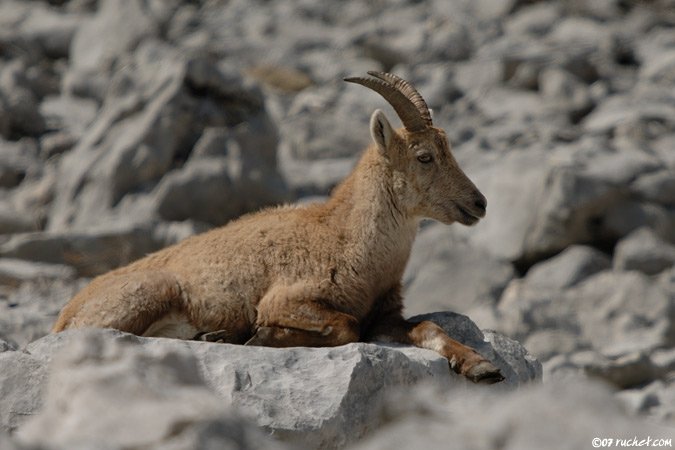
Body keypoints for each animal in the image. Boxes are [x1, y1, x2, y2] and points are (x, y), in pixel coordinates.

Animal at [53, 72, 503, 383]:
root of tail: (65, 313)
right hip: (150, 293)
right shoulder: (285, 298)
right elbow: (346, 325)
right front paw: (261, 337)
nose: (479, 203)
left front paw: (480, 364)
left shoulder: (387, 314)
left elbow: (429, 327)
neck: (348, 240)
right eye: (425, 156)